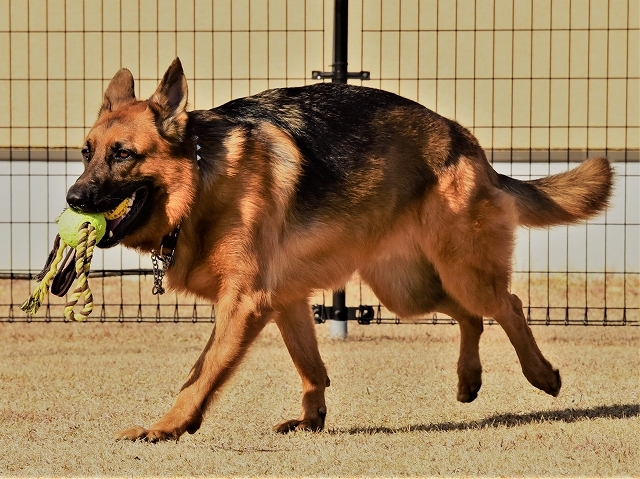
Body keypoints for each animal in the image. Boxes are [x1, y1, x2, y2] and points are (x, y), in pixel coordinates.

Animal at [66, 58, 616, 440]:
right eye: (86, 153)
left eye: (123, 154)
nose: (73, 200)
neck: (201, 180)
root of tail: (468, 144)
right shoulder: (284, 301)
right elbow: (310, 367)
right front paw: (312, 420)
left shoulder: (243, 304)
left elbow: (199, 375)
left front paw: (167, 427)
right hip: (405, 290)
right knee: (470, 315)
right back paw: (468, 380)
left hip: (461, 270)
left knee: (508, 305)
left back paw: (542, 374)